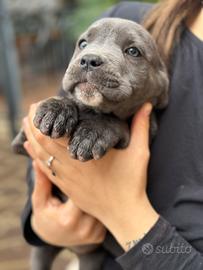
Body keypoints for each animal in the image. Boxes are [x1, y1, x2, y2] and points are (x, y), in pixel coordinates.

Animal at [12, 17, 168, 270]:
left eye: (133, 51)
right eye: (82, 44)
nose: (88, 60)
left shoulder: (144, 130)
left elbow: (116, 122)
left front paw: (93, 132)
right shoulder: (21, 140)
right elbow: (69, 101)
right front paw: (57, 109)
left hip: (91, 257)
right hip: (42, 251)